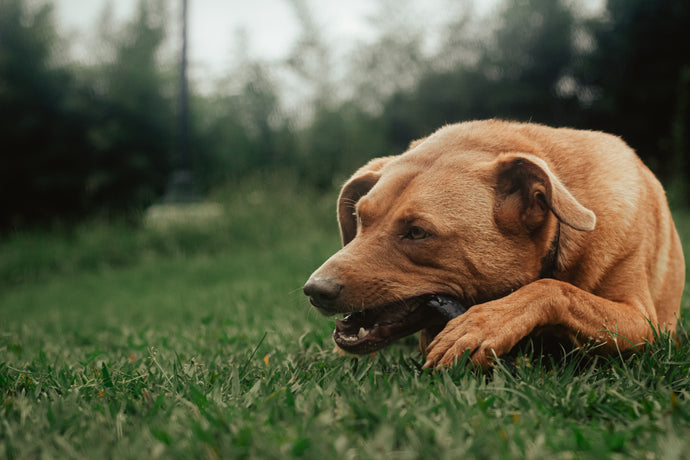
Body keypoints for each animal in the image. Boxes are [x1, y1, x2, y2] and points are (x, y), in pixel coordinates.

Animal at [302, 120, 684, 368]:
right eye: (360, 218)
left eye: (417, 232)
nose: (314, 290)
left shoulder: (644, 325)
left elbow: (552, 288)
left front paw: (482, 324)